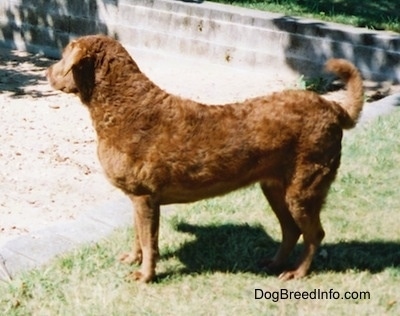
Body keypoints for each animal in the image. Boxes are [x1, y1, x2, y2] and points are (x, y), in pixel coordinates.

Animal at [47, 35, 366, 284]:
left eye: (63, 56)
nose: (48, 70)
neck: (124, 107)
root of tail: (334, 107)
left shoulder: (145, 197)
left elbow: (150, 242)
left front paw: (145, 276)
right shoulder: (137, 198)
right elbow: (138, 235)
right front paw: (132, 258)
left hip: (304, 188)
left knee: (314, 234)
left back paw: (297, 273)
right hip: (275, 188)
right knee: (291, 230)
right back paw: (274, 264)